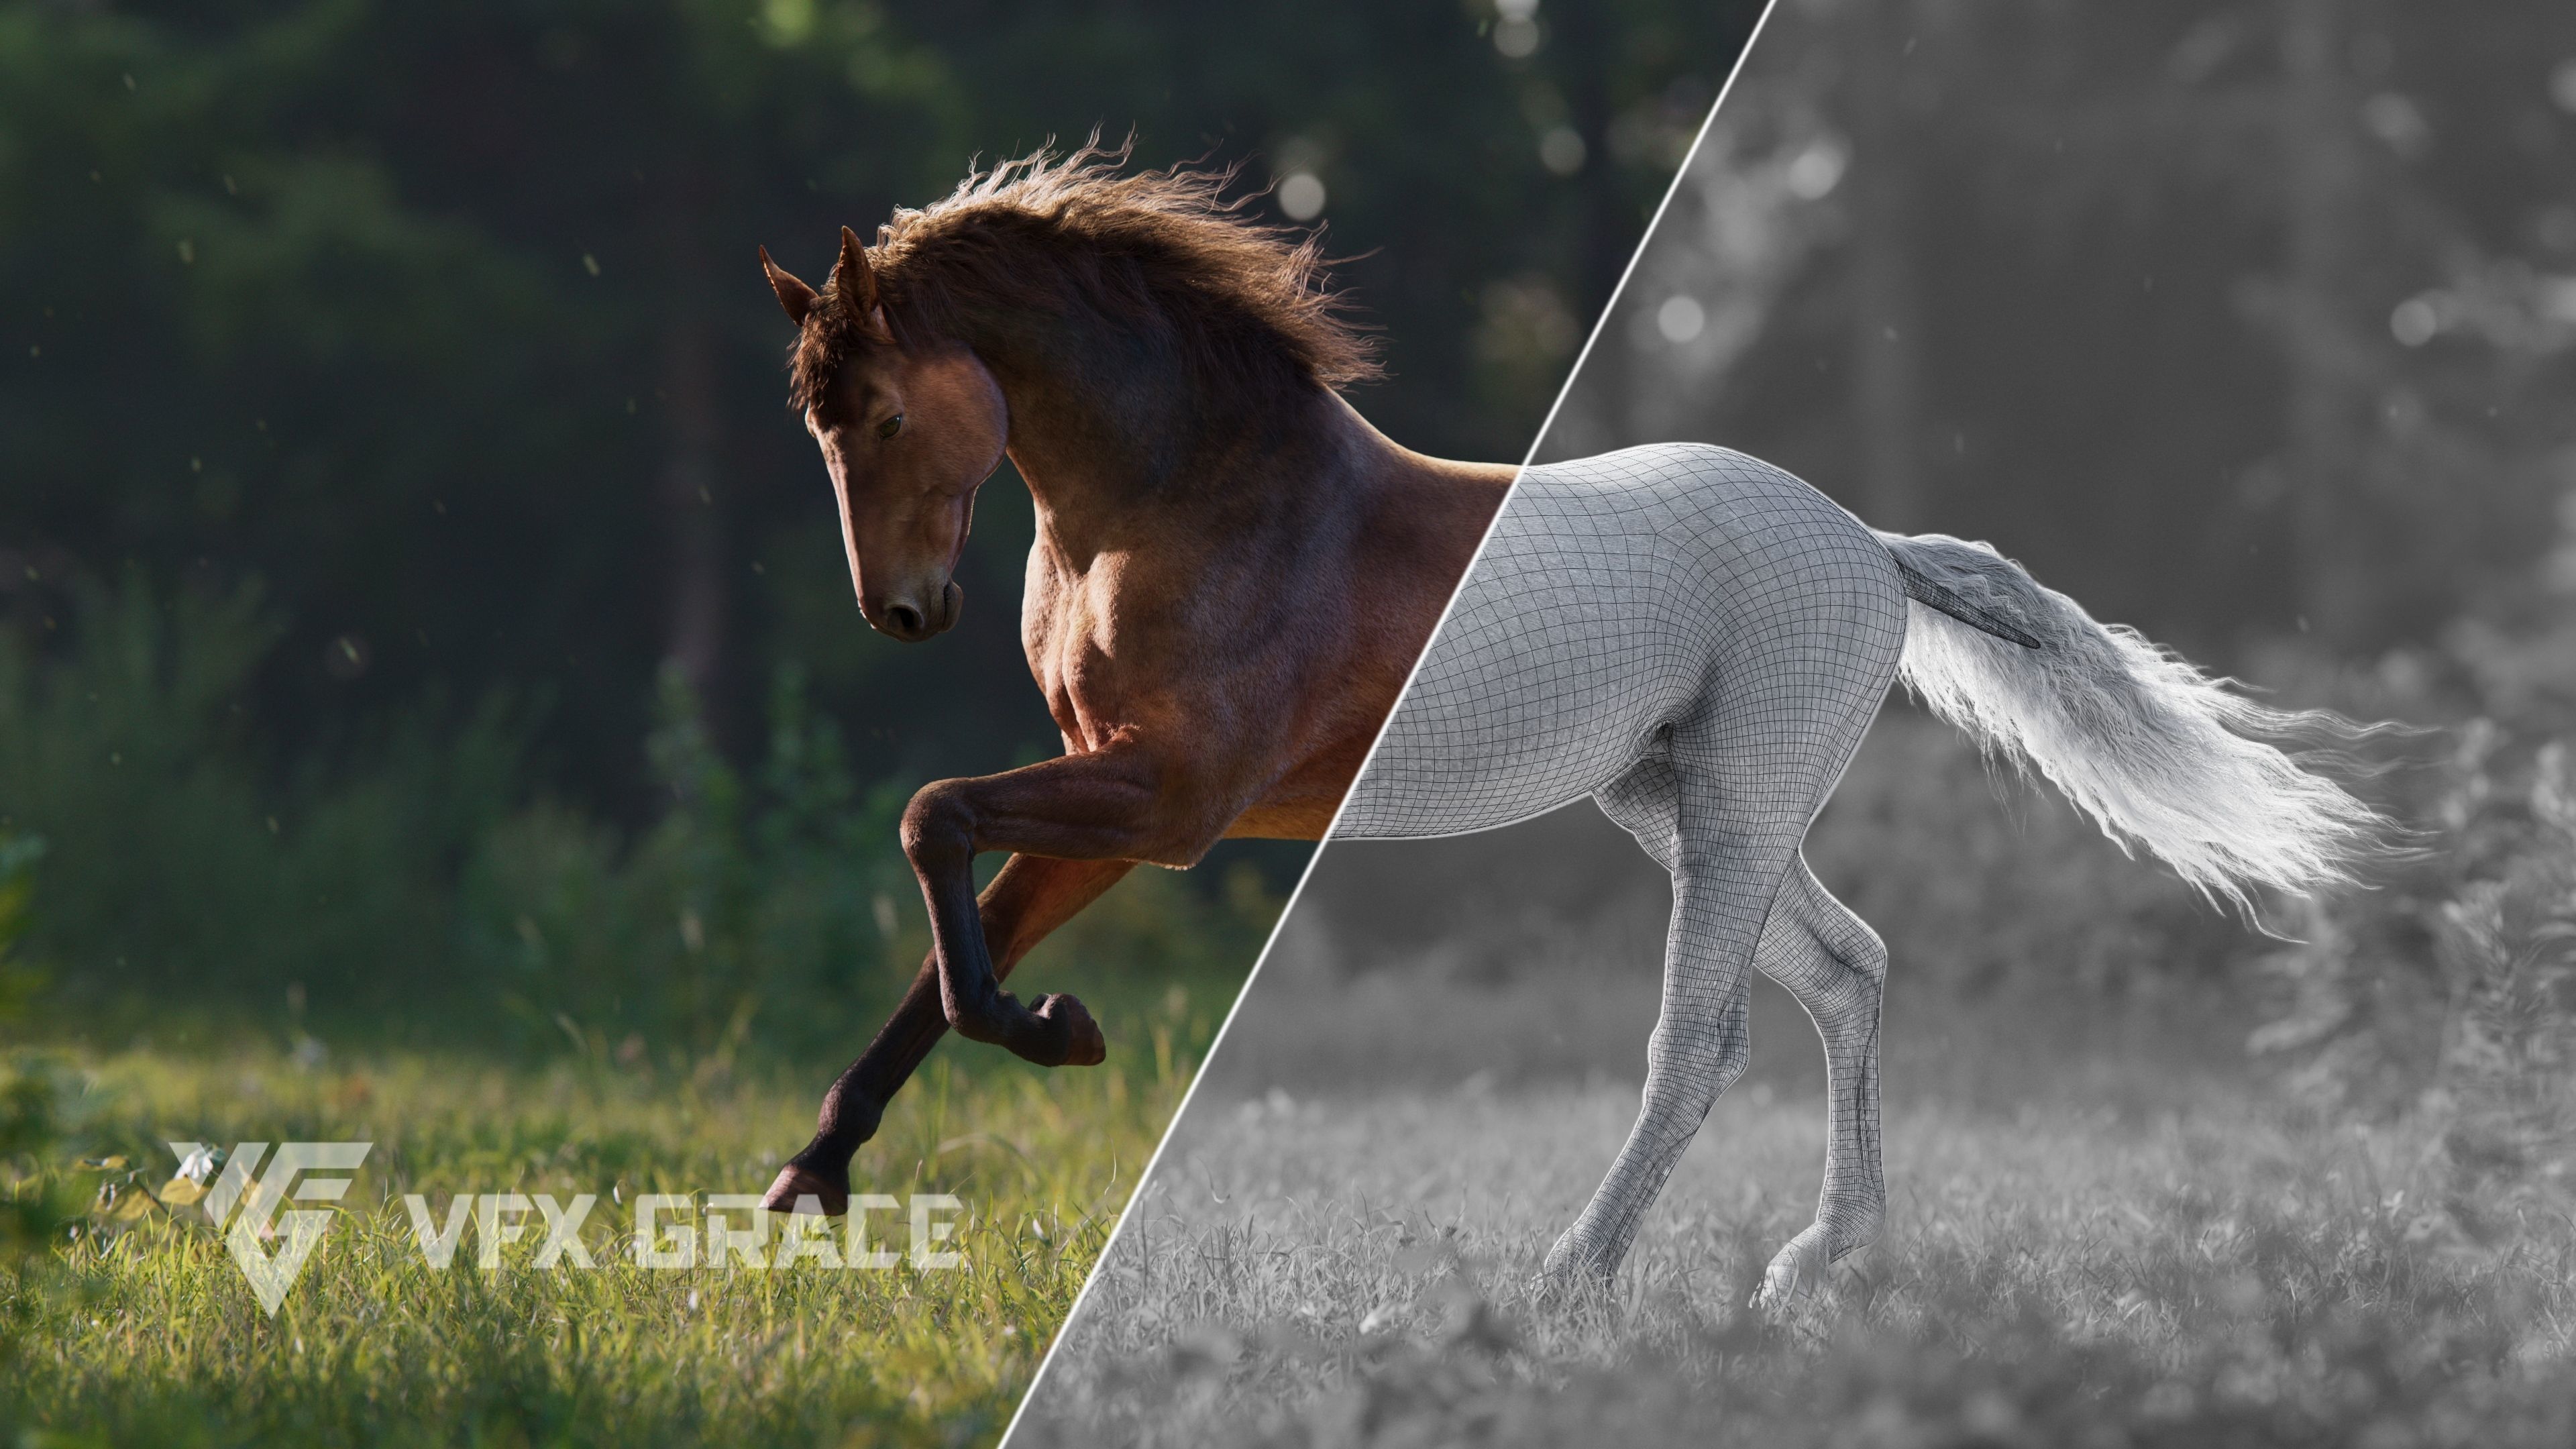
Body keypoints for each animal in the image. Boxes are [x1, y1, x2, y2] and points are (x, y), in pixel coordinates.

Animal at [750, 147, 1513, 1214]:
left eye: (889, 419)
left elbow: (932, 815)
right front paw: (815, 1167)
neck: (1179, 507)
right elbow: (966, 923)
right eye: (820, 434)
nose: (896, 610)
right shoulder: (1105, 790)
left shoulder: (1170, 799)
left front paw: (1059, 1027)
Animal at [1333, 442, 2394, 1306]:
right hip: (1667, 801)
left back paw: (1563, 1288)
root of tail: (1870, 544)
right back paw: (1811, 1260)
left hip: (1744, 798)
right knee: (1845, 966)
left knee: (1704, 1038)